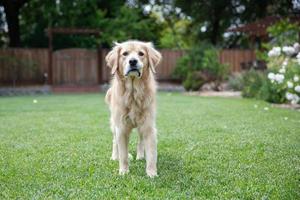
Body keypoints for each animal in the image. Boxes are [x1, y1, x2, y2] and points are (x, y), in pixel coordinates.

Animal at [105, 40, 162, 177]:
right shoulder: (121, 127)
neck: (133, 92)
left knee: (140, 141)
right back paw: (114, 157)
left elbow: (151, 154)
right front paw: (123, 172)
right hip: (114, 123)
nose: (133, 61)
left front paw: (152, 173)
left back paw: (140, 156)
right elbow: (123, 155)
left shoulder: (148, 126)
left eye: (141, 53)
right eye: (125, 54)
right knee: (114, 141)